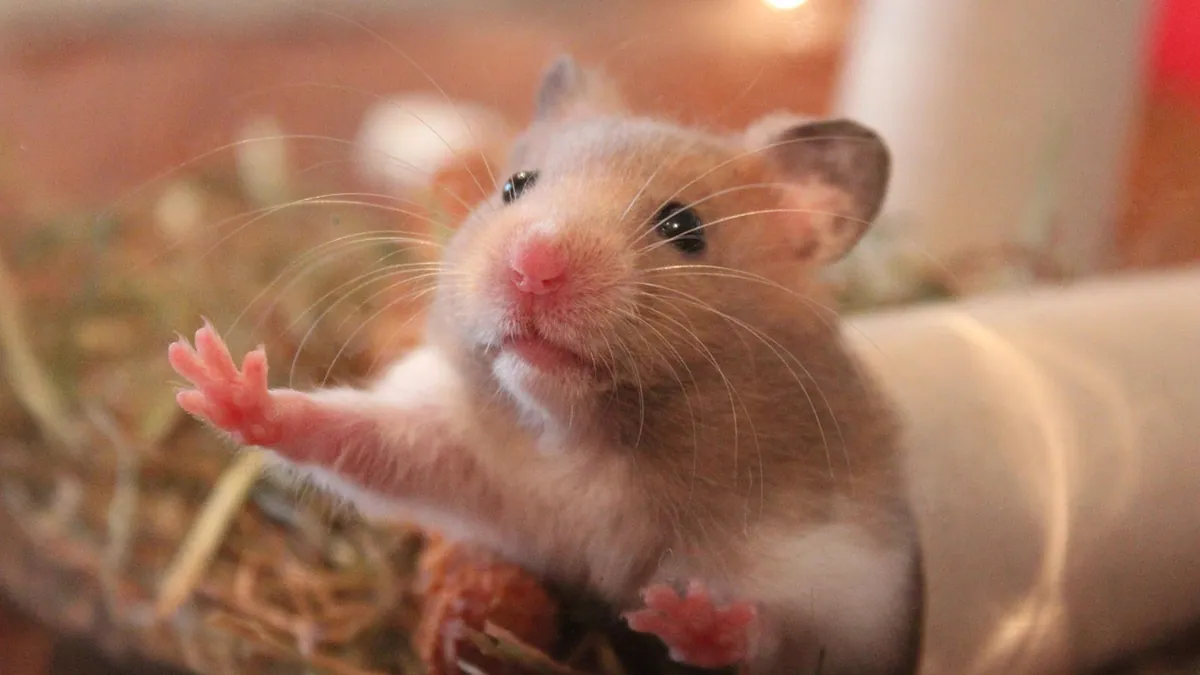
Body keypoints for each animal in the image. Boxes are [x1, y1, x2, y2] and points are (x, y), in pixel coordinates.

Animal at [167, 55, 923, 675]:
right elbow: (353, 434)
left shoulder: (841, 576)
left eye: (684, 227)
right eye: (515, 186)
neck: (585, 438)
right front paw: (216, 379)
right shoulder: (459, 451)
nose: (533, 265)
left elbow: (777, 630)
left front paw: (687, 616)